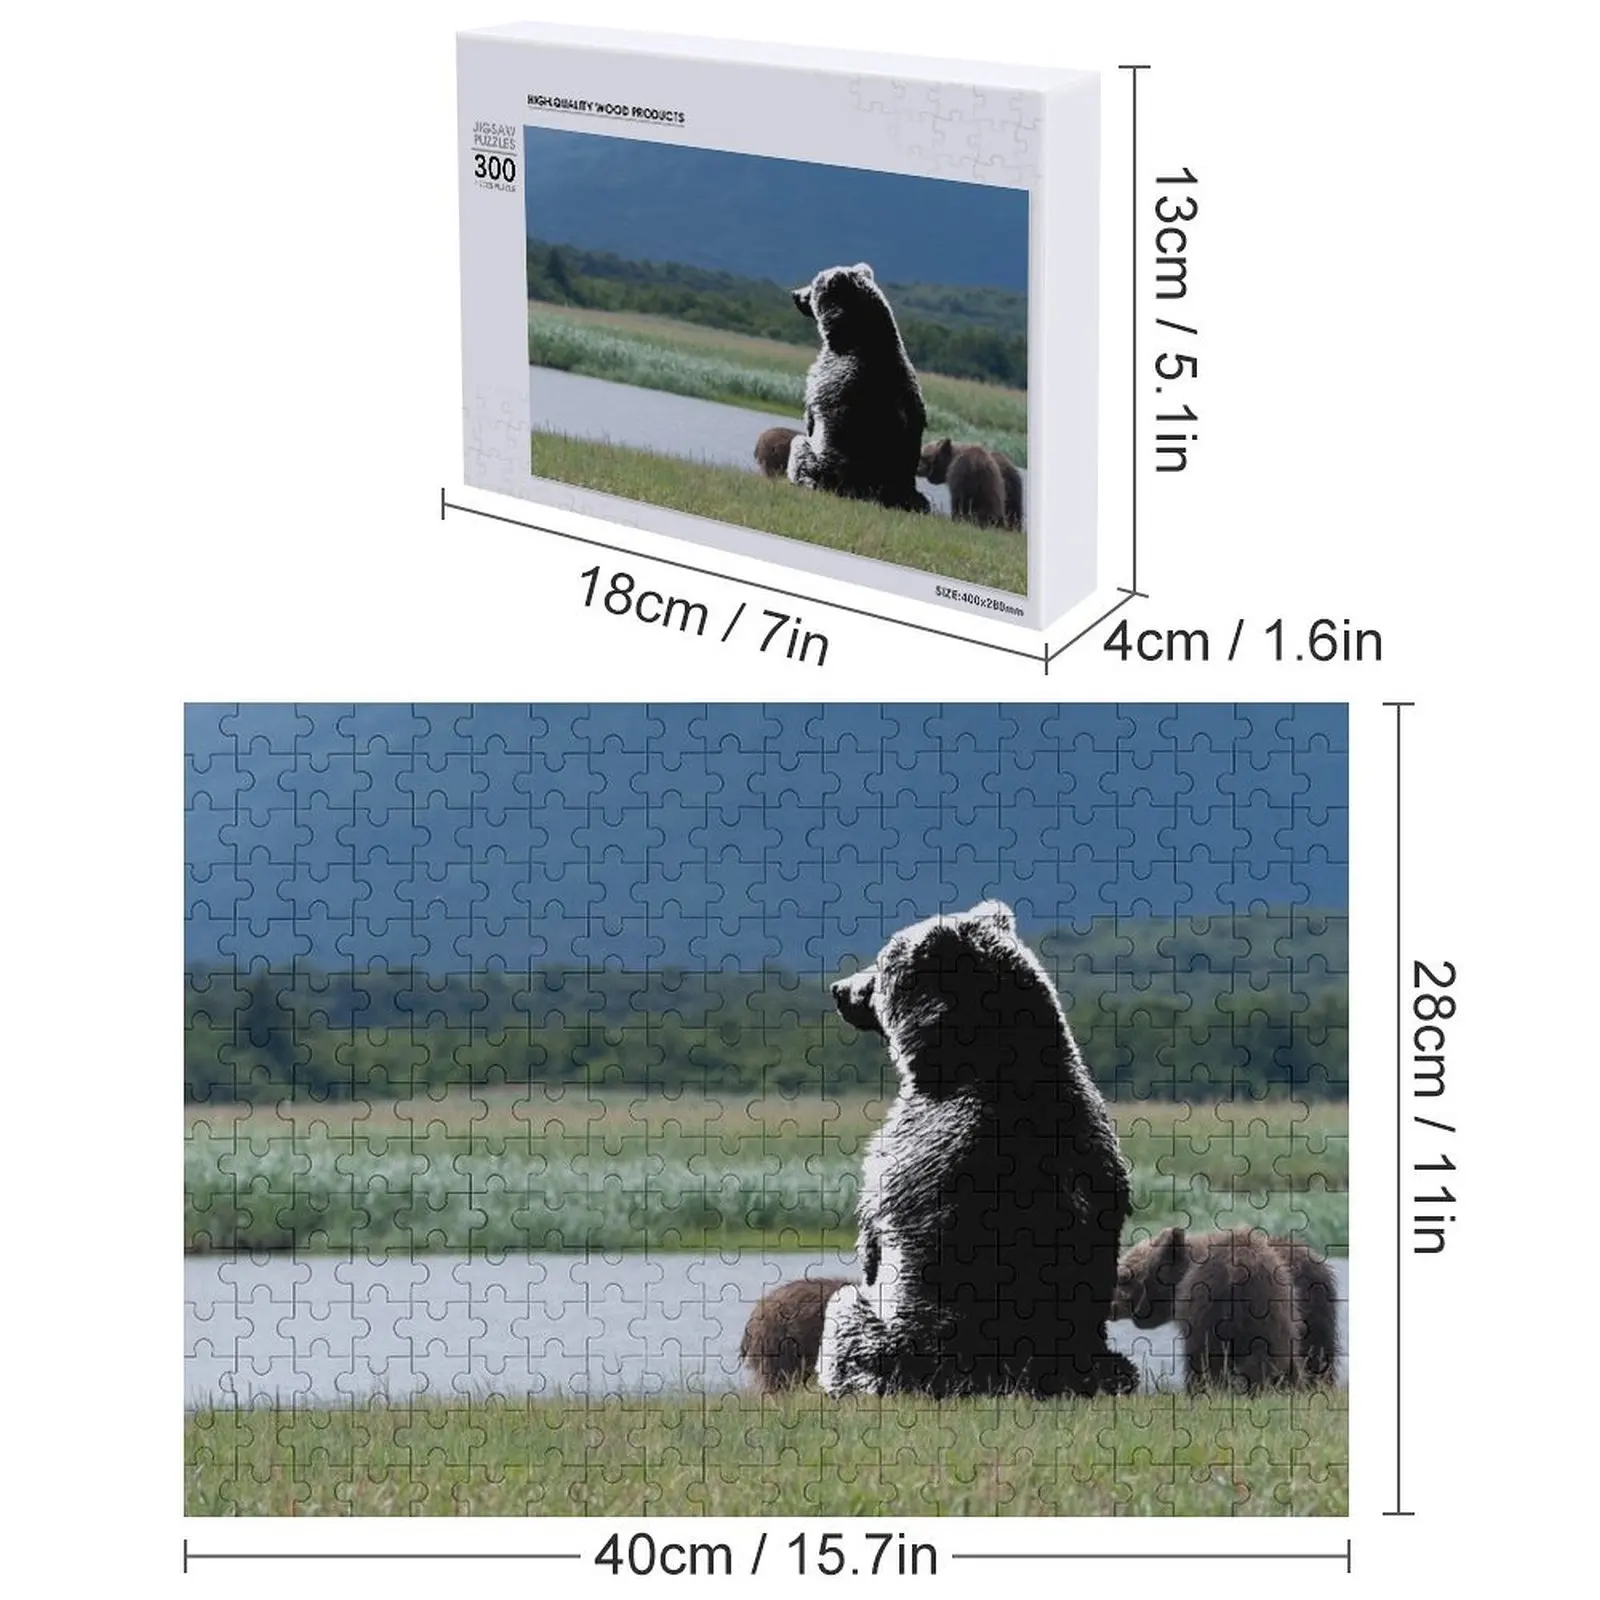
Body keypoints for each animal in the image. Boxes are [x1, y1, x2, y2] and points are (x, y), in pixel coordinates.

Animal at [787, 263, 929, 513]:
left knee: (799, 447)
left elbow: (813, 409)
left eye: (813, 284)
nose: (795, 294)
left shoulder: (830, 376)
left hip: (828, 466)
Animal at [817, 901, 1137, 1399]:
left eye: (882, 962)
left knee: (844, 1309)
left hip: (893, 1344)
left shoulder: (919, 1137)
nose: (840, 989)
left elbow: (878, 1211)